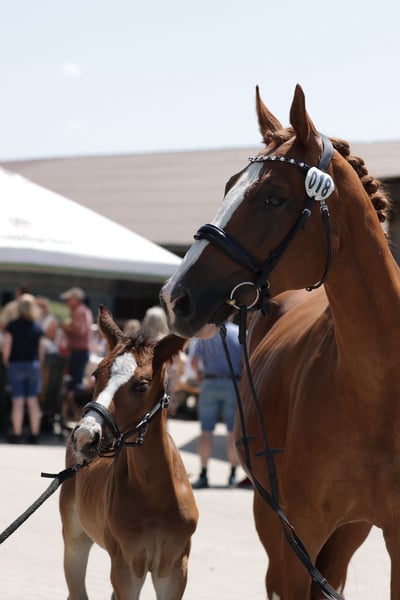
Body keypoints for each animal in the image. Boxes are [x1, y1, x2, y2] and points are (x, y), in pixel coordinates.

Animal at [59, 306, 198, 600]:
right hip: (75, 538)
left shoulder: (174, 567)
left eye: (141, 386)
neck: (155, 493)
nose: (85, 436)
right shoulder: (126, 564)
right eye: (95, 374)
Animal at [160, 84, 400, 598]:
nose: (175, 297)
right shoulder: (297, 535)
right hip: (273, 522)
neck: (375, 391)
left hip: (350, 531)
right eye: (229, 185)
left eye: (272, 197)